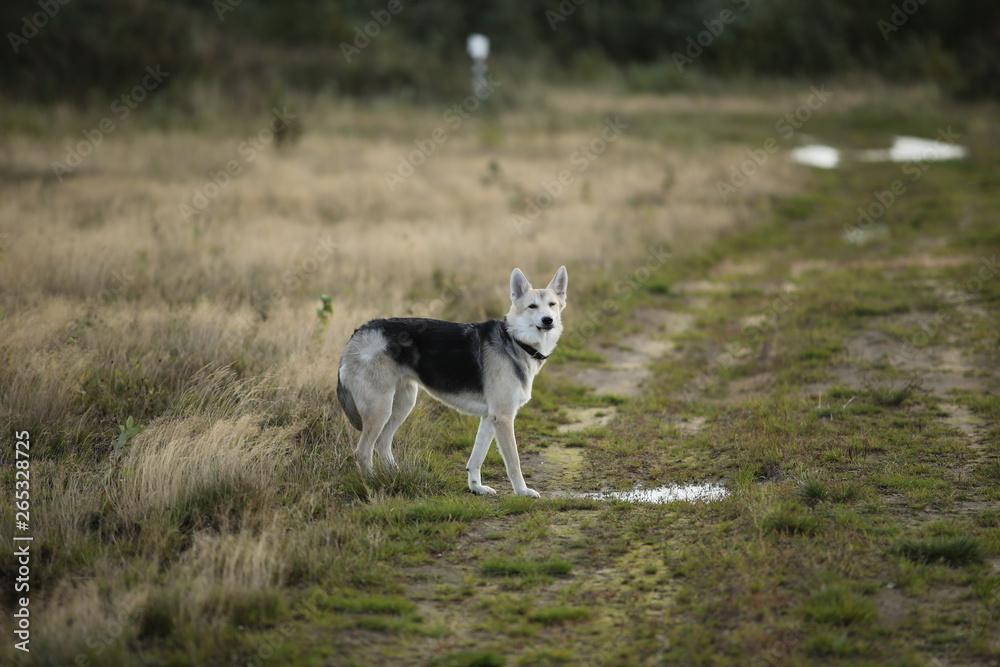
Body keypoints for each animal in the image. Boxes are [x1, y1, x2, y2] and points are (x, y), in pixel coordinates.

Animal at [338, 266, 568, 496]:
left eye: (552, 305)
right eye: (532, 306)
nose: (548, 320)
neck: (516, 341)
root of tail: (360, 331)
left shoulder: (490, 418)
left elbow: (476, 459)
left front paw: (477, 488)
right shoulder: (503, 418)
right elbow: (514, 463)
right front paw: (522, 491)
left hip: (402, 404)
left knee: (382, 443)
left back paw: (395, 476)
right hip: (381, 409)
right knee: (362, 451)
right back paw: (371, 482)